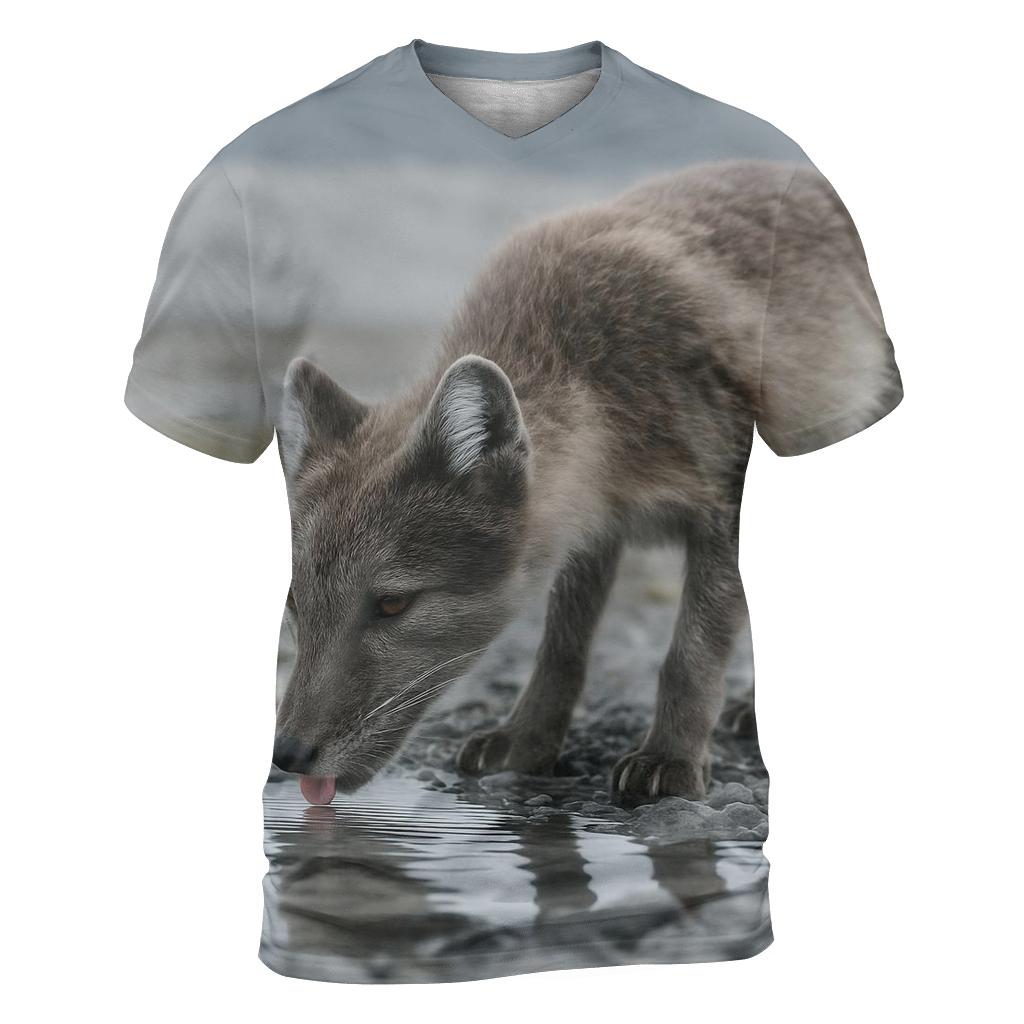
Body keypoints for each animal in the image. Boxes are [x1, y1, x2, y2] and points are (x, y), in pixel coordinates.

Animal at [272, 160, 895, 806]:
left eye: (393, 603)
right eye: (292, 600)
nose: (286, 756)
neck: (597, 383)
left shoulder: (723, 509)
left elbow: (690, 654)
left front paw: (669, 759)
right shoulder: (590, 530)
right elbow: (561, 647)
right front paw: (526, 743)